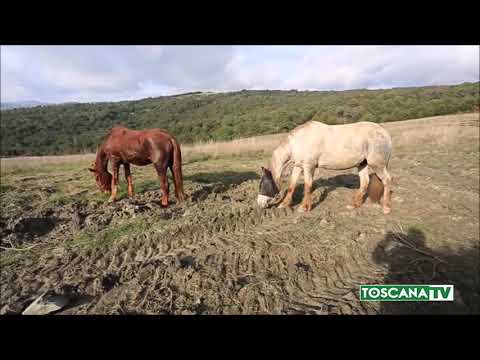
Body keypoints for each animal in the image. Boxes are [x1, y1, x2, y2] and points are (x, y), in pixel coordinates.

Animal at [258, 121, 394, 215]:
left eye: (262, 185)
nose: (259, 204)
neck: (298, 142)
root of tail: (384, 132)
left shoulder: (309, 166)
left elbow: (308, 185)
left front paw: (303, 208)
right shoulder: (298, 166)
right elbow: (292, 185)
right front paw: (284, 205)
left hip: (377, 164)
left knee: (387, 180)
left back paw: (386, 208)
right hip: (362, 164)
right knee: (365, 182)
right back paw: (353, 205)